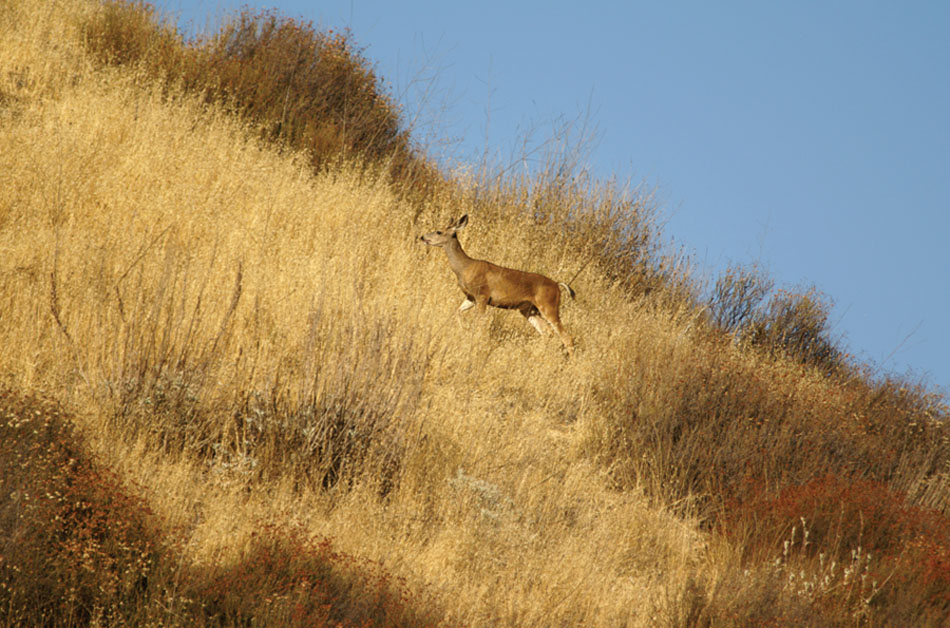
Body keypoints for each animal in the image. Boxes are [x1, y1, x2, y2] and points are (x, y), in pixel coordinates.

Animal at [420, 215, 576, 354]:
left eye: (439, 231)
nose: (422, 237)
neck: (465, 268)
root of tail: (557, 285)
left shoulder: (482, 295)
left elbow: (479, 322)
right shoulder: (471, 297)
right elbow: (457, 312)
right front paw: (463, 330)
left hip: (549, 305)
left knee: (566, 336)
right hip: (528, 309)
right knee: (547, 332)